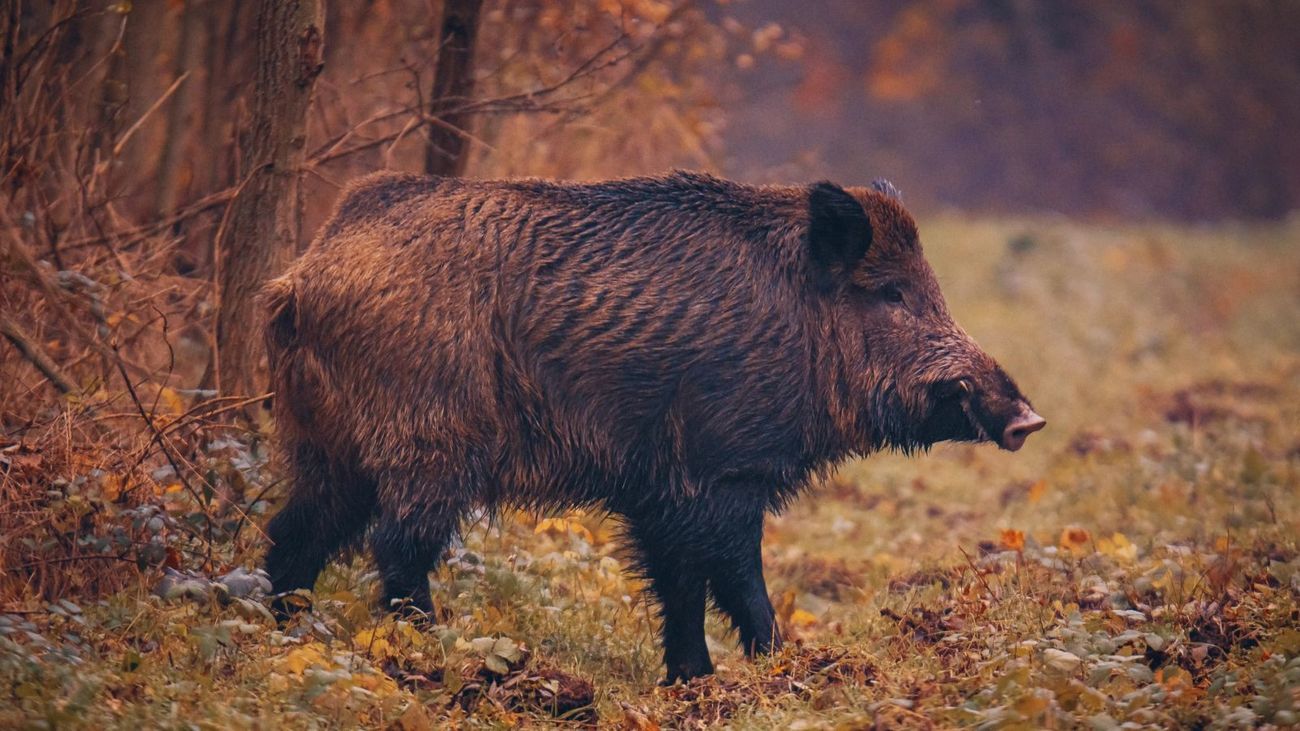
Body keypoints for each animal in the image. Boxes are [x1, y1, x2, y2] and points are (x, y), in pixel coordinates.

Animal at [260, 170, 1045, 682]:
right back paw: (435, 652)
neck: (800, 322)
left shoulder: (661, 489)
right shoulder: (721, 471)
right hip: (428, 439)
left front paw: (691, 680)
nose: (1028, 418)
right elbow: (734, 575)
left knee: (293, 533)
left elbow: (680, 581)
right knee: (398, 544)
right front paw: (776, 667)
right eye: (891, 293)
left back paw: (290, 636)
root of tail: (301, 278)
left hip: (329, 446)